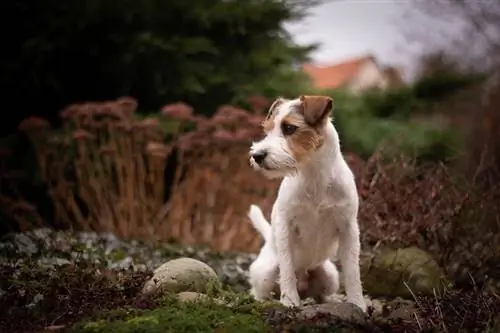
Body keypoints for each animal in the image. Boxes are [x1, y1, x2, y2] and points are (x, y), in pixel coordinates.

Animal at [248, 94, 366, 310]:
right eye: (267, 129)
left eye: (289, 128)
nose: (257, 155)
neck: (313, 175)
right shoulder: (286, 226)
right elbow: (287, 267)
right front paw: (289, 300)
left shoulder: (348, 228)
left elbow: (353, 271)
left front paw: (357, 304)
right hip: (265, 274)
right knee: (261, 289)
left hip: (330, 276)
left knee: (320, 294)